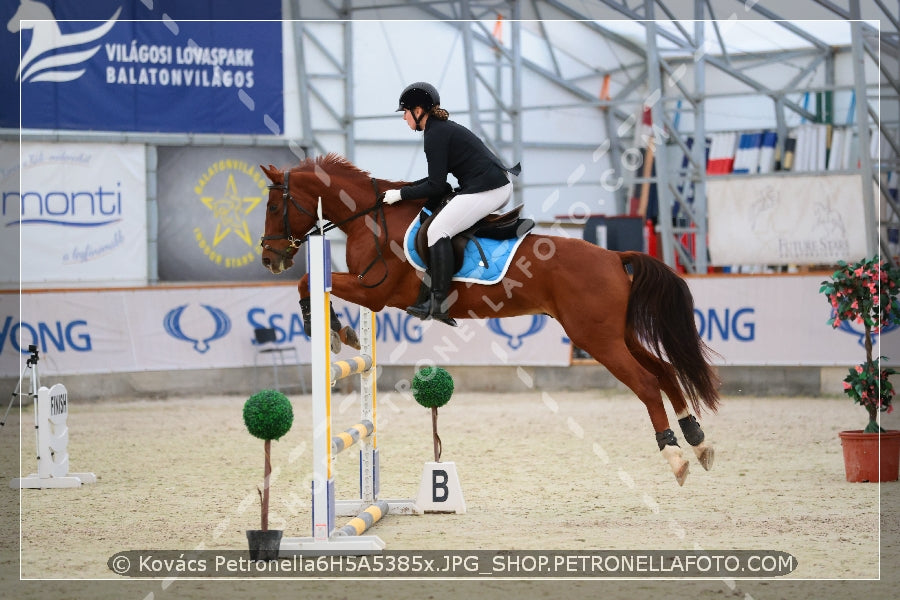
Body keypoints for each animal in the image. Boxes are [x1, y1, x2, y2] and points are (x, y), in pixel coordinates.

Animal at [258, 155, 716, 488]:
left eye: (275, 206)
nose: (269, 258)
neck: (370, 218)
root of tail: (614, 257)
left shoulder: (375, 291)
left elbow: (308, 281)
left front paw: (334, 331)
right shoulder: (371, 292)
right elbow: (312, 283)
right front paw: (342, 332)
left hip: (596, 339)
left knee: (647, 384)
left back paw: (675, 456)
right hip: (618, 334)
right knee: (665, 371)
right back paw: (698, 441)